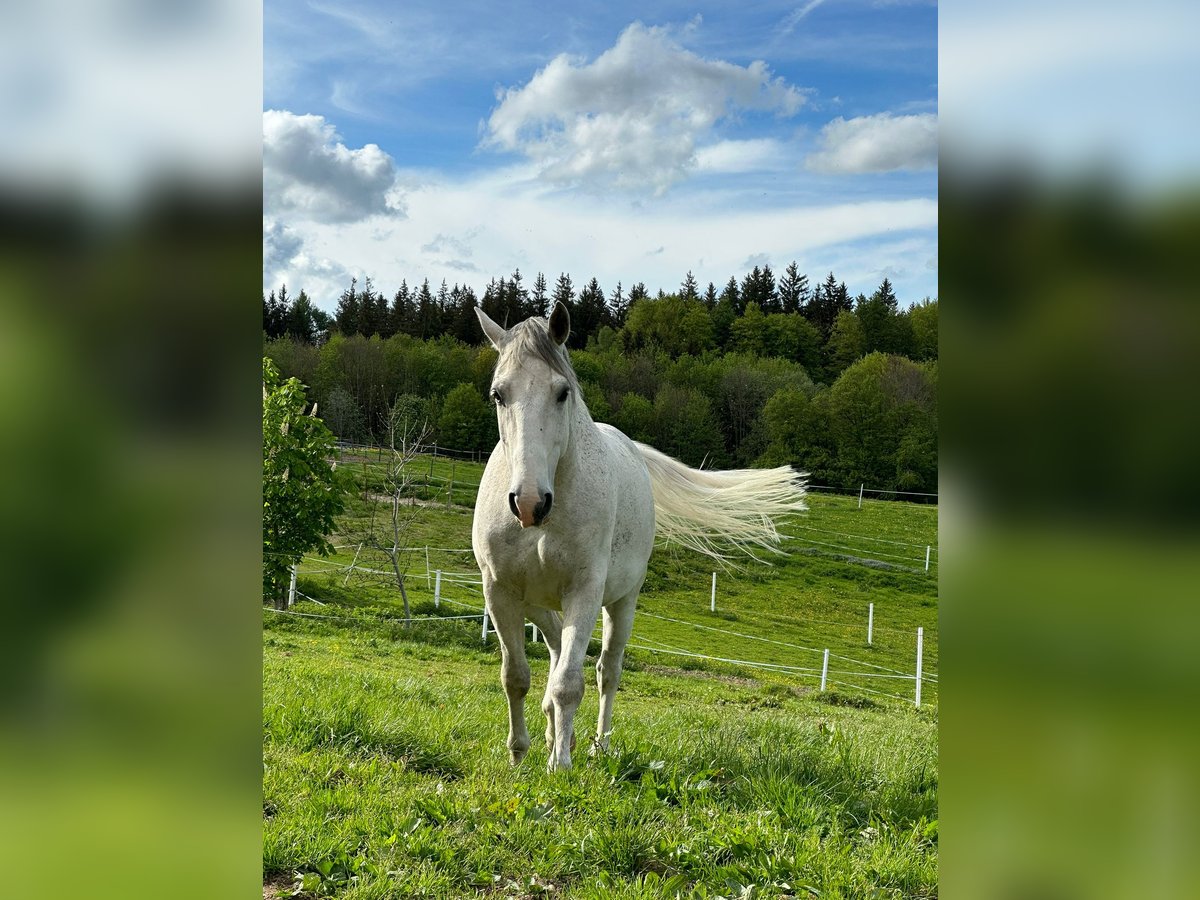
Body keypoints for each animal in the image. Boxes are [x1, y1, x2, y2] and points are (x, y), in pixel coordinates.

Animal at [470, 301, 806, 768]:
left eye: (562, 392)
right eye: (498, 394)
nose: (529, 503)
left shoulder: (586, 591)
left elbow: (568, 684)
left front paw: (559, 766)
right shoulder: (499, 590)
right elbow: (515, 677)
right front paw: (519, 758)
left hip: (622, 601)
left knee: (605, 671)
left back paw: (598, 745)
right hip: (537, 602)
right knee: (555, 648)